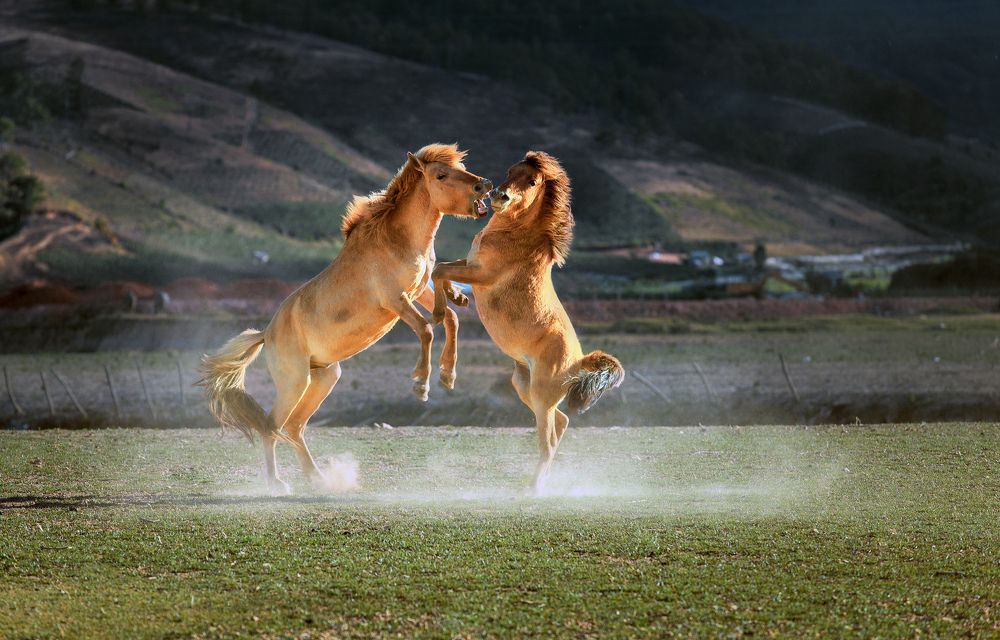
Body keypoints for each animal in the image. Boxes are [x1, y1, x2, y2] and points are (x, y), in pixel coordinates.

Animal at [199, 143, 491, 494]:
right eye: (441, 175)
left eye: (462, 167)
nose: (485, 186)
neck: (398, 240)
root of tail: (266, 334)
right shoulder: (395, 300)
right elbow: (426, 329)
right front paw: (421, 384)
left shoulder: (419, 291)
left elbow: (450, 319)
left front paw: (448, 376)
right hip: (296, 382)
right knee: (272, 425)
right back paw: (278, 484)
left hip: (324, 377)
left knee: (293, 427)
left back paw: (320, 479)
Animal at [432, 151, 624, 493]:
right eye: (511, 170)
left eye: (533, 181)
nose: (499, 196)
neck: (515, 235)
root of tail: (578, 363)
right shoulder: (470, 266)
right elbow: (443, 268)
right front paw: (457, 298)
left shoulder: (482, 275)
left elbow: (439, 269)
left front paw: (442, 309)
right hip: (525, 388)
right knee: (561, 423)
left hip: (541, 397)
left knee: (548, 441)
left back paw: (534, 489)